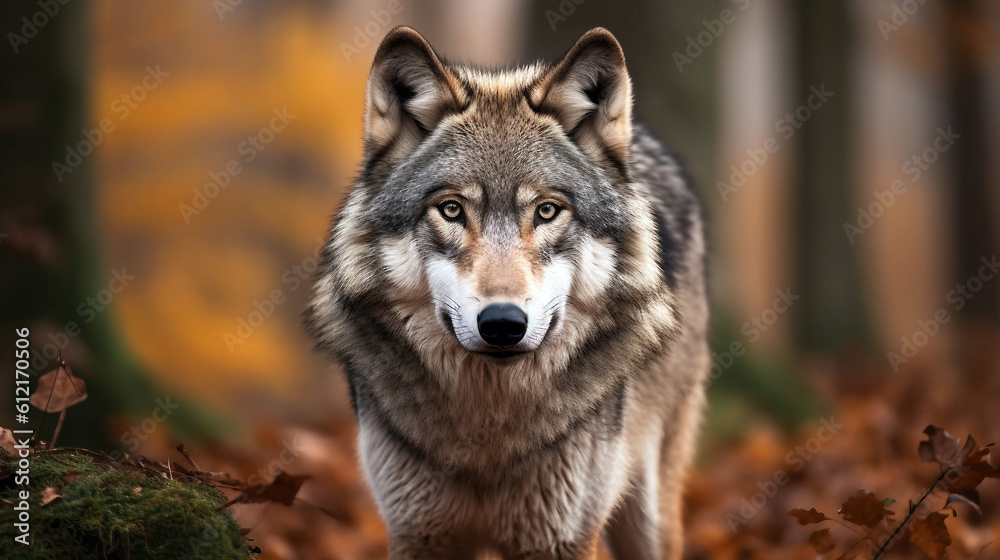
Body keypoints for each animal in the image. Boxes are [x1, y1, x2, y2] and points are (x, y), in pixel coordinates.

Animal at [307, 26, 709, 560]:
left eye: (546, 211)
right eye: (452, 209)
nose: (502, 323)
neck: (488, 432)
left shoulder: (558, 538)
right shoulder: (419, 532)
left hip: (648, 510)